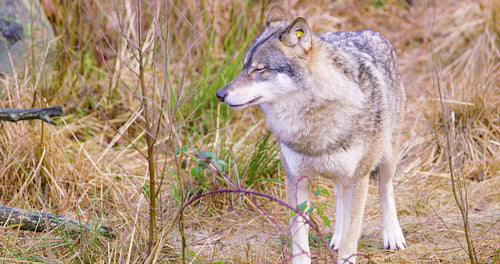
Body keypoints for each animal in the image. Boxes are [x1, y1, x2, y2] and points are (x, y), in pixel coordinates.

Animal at [215, 6, 406, 264]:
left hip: (386, 159)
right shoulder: (296, 179)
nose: (220, 94)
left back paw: (392, 235)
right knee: (339, 197)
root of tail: (366, 31)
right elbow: (300, 238)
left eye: (260, 69)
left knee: (385, 189)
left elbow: (351, 237)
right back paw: (337, 236)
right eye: (245, 66)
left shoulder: (358, 179)